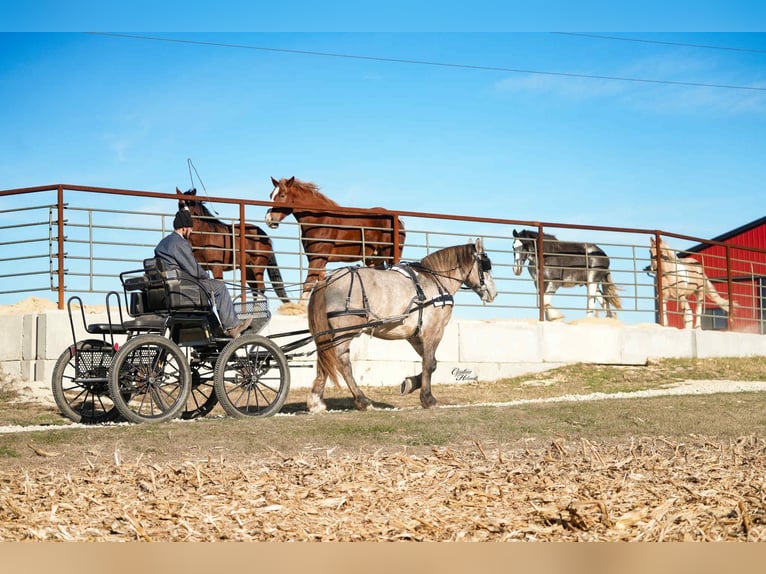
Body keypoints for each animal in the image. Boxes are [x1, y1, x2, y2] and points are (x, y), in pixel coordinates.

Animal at [265, 176, 406, 302]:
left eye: (282, 195)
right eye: (271, 195)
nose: (269, 219)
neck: (319, 220)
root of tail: (399, 221)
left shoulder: (318, 258)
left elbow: (308, 283)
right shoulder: (317, 259)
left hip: (389, 256)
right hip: (374, 259)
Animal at [307, 238, 497, 412]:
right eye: (485, 266)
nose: (494, 293)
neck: (435, 280)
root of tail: (327, 280)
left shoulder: (414, 335)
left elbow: (432, 363)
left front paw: (410, 384)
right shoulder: (433, 331)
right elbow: (429, 363)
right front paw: (427, 398)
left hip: (328, 333)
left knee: (324, 358)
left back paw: (316, 402)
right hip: (344, 332)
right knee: (342, 361)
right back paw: (362, 400)